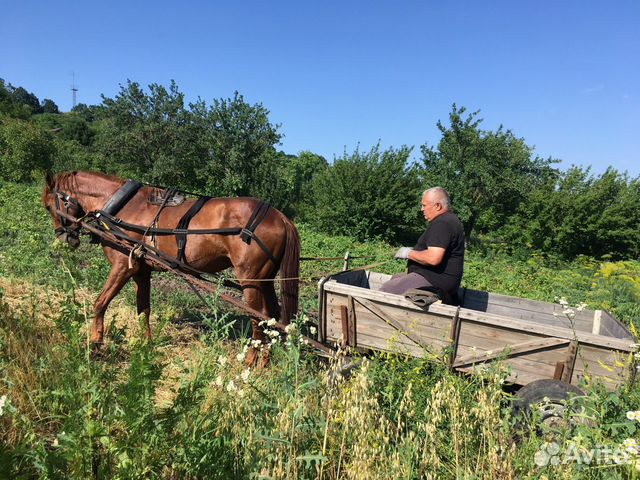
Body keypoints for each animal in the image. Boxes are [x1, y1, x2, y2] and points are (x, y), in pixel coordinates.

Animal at [42, 172, 300, 364]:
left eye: (48, 206)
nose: (65, 238)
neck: (123, 208)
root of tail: (281, 217)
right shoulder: (141, 271)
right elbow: (143, 310)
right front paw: (145, 346)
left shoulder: (123, 267)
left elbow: (100, 303)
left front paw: (96, 344)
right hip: (265, 280)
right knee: (272, 317)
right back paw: (264, 363)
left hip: (250, 281)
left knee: (260, 318)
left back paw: (249, 362)